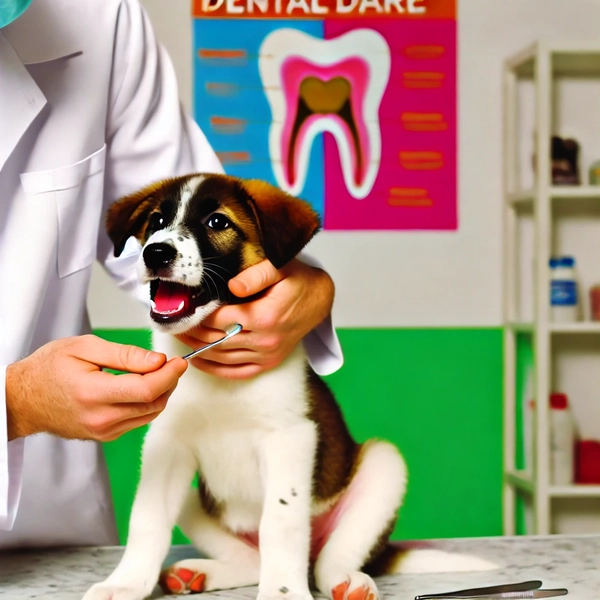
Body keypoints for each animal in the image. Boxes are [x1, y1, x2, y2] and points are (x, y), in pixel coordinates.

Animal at [82, 172, 492, 600]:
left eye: (217, 222)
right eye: (157, 221)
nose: (156, 253)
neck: (220, 377)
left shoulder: (290, 438)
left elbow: (280, 522)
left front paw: (283, 592)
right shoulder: (167, 442)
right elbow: (147, 518)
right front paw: (126, 583)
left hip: (383, 465)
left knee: (327, 561)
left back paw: (348, 581)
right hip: (198, 501)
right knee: (252, 559)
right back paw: (199, 575)